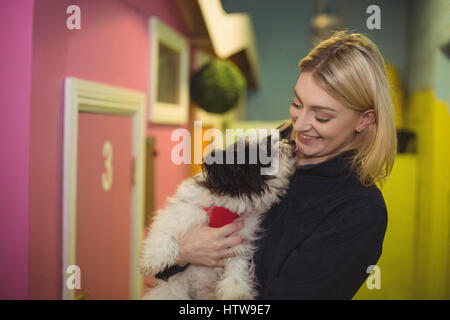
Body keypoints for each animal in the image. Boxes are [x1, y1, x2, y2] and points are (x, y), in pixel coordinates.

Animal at [139, 128, 298, 300]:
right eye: (268, 148)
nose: (293, 142)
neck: (228, 204)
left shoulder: (239, 241)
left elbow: (236, 270)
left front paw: (236, 292)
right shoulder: (184, 210)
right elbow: (166, 232)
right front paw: (153, 259)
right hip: (171, 289)